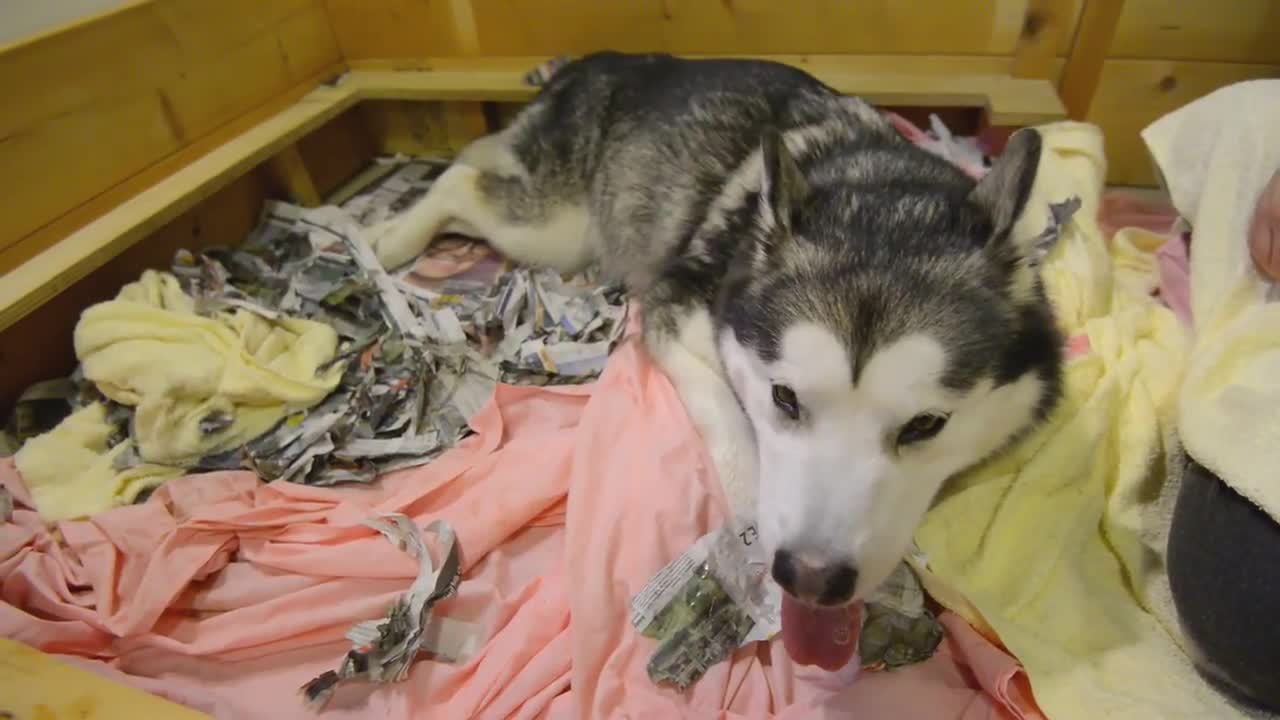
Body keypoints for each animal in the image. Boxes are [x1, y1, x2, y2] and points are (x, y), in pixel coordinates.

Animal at [368, 51, 1059, 661]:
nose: (809, 578)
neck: (884, 195)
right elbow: (736, 442)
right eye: (784, 397)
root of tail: (597, 60)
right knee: (461, 180)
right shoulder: (674, 315)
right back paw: (387, 238)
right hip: (555, 229)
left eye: (926, 425)